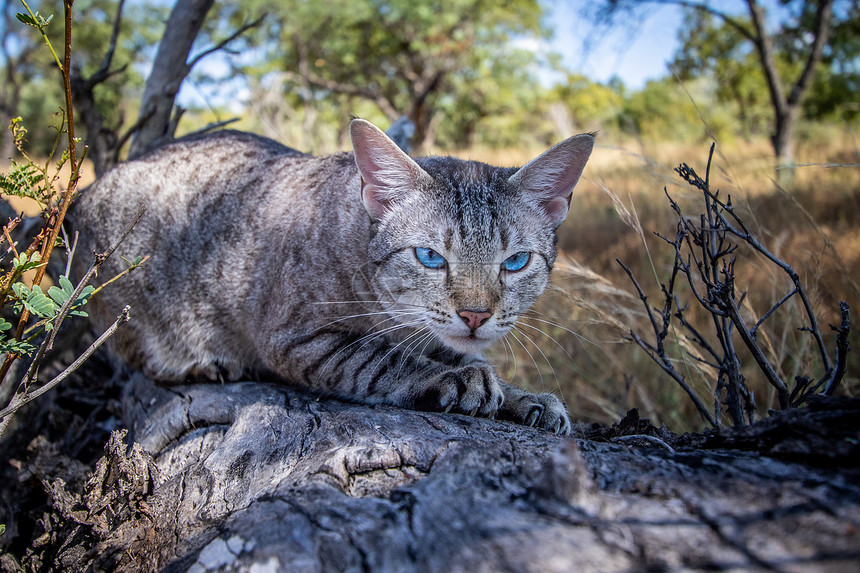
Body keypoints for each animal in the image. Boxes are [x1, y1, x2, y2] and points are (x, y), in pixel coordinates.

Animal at [72, 119, 592, 434]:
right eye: (429, 257)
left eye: (515, 262)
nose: (476, 315)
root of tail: (83, 195)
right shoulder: (296, 338)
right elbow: (384, 360)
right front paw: (459, 378)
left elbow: (458, 353)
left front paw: (520, 396)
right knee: (134, 357)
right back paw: (201, 364)